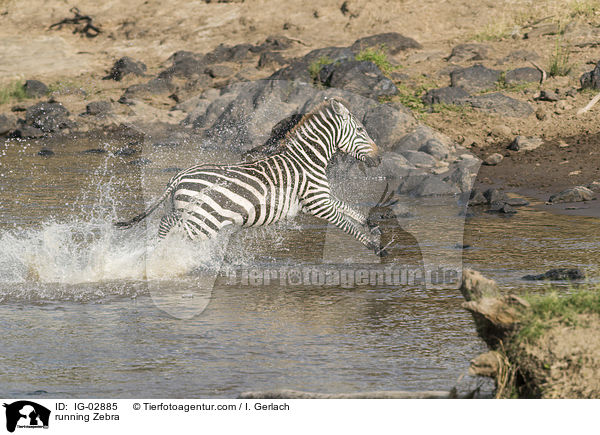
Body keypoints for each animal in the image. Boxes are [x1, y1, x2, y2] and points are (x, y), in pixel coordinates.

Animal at [116, 99, 390, 255]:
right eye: (361, 130)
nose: (380, 158)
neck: (307, 160)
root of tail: (180, 176)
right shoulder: (318, 205)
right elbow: (347, 225)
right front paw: (376, 247)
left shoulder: (323, 198)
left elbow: (351, 209)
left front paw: (373, 226)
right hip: (202, 221)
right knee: (168, 224)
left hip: (189, 213)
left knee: (166, 221)